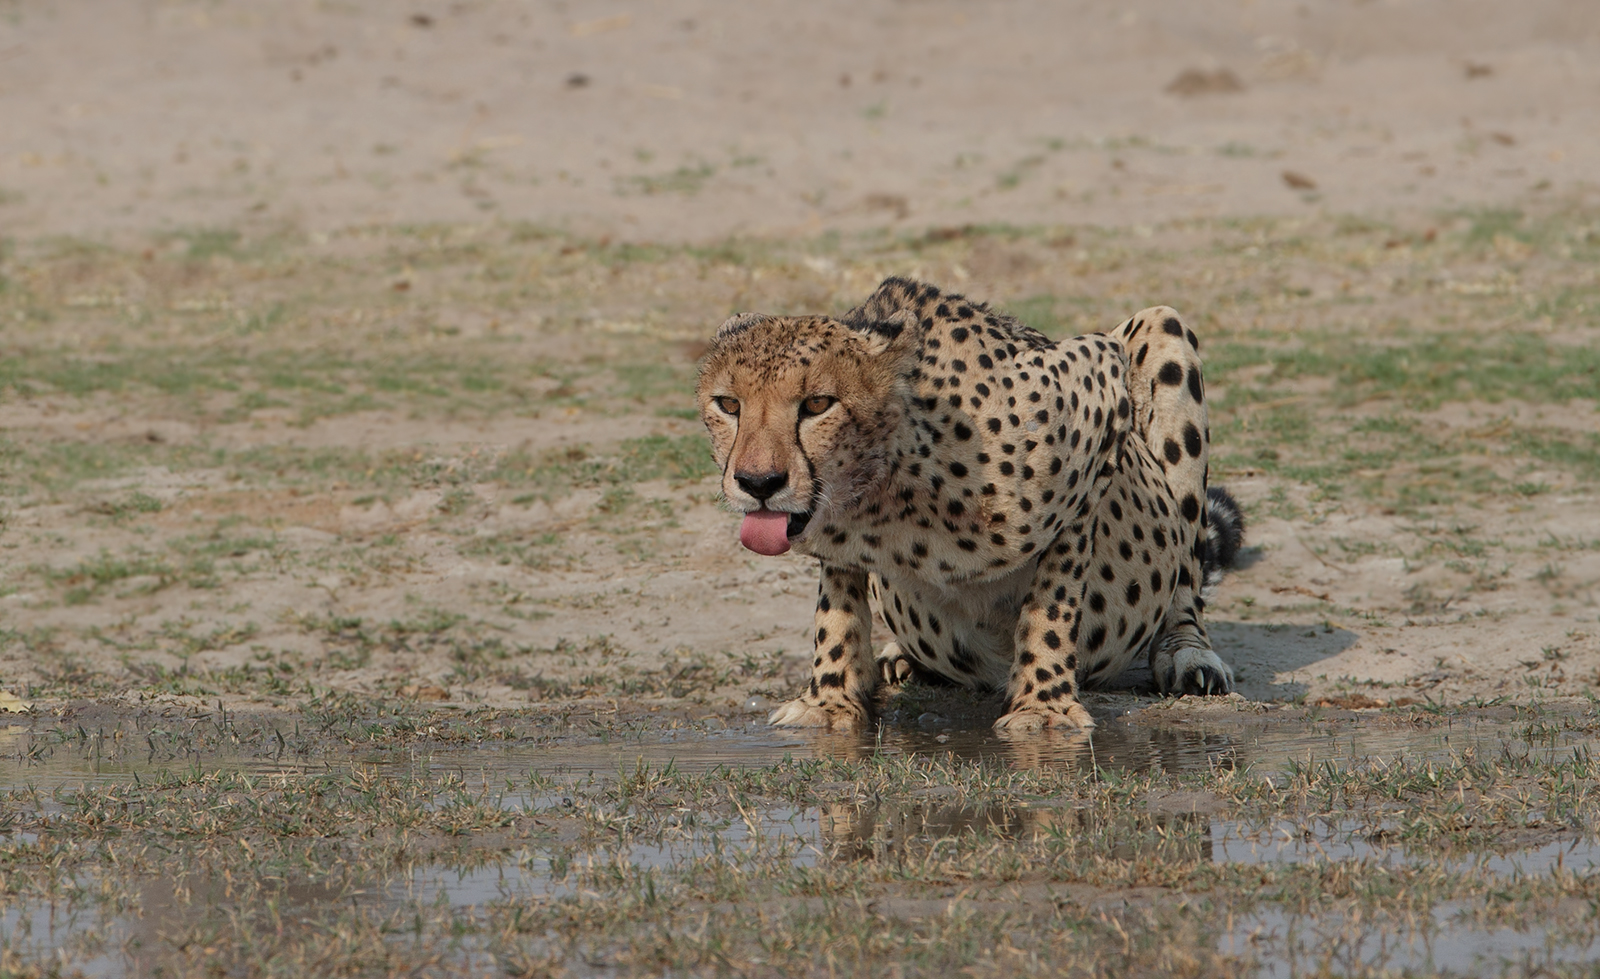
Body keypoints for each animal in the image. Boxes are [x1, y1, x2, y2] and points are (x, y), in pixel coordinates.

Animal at [695, 276, 1245, 732]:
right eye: (729, 405)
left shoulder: (1097, 401)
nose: (757, 482)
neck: (890, 492)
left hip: (1162, 329)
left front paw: (1042, 706)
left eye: (816, 404)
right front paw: (828, 701)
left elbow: (1053, 596)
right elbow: (838, 604)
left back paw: (1187, 655)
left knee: (1185, 571)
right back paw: (899, 656)